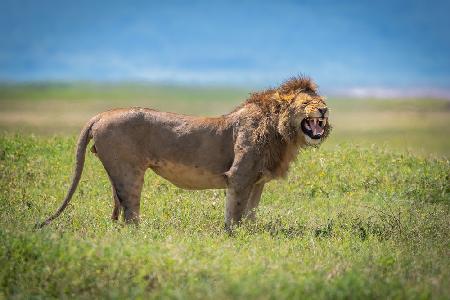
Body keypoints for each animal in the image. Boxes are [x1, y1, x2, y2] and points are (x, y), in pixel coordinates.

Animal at [36, 77, 330, 230]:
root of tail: (100, 115)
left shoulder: (257, 181)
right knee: (131, 210)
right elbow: (235, 212)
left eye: (322, 101)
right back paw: (140, 236)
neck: (282, 133)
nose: (324, 110)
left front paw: (251, 234)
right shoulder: (239, 176)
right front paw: (233, 236)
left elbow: (251, 213)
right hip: (129, 171)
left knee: (119, 208)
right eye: (307, 102)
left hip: (116, 173)